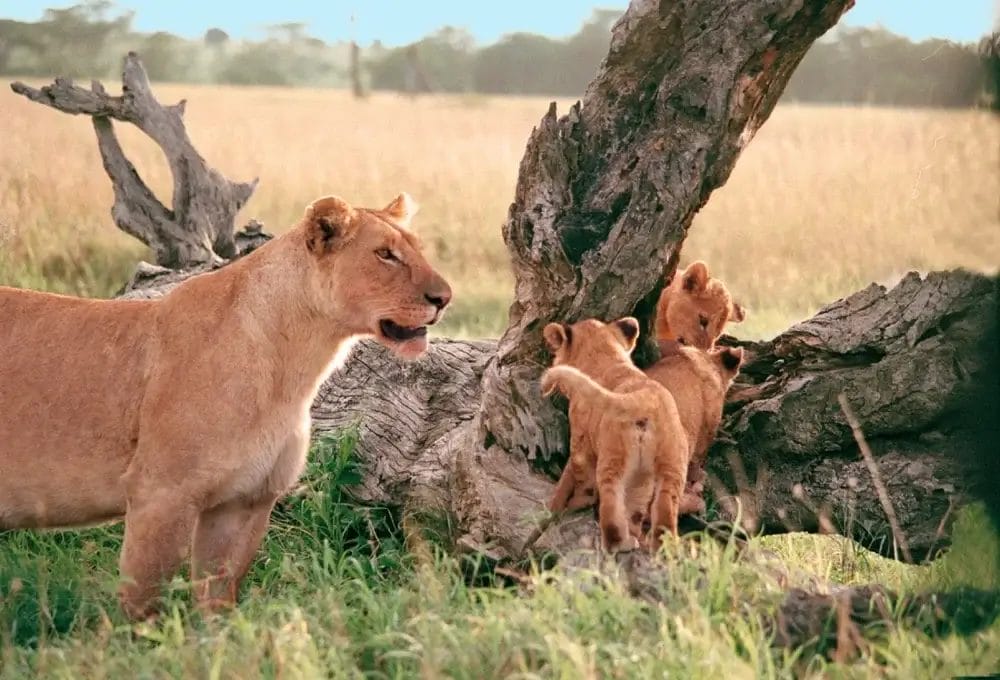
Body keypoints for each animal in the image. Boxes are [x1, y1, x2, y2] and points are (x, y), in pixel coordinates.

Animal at [0, 192, 451, 620]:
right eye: (385, 254)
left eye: (417, 249)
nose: (445, 298)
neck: (294, 367)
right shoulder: (159, 494)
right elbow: (143, 602)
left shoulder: (244, 502)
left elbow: (218, 603)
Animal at [541, 318, 689, 552]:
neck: (606, 357)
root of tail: (645, 398)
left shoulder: (580, 439)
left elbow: (579, 476)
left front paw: (571, 504)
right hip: (670, 466)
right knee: (661, 509)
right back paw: (660, 548)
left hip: (613, 456)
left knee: (611, 502)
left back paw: (617, 544)